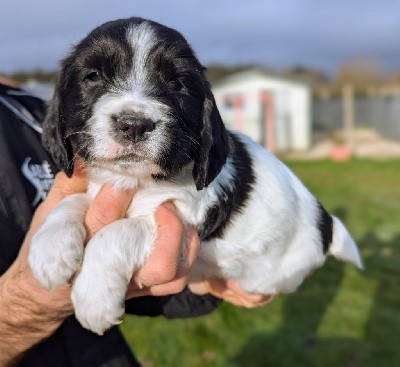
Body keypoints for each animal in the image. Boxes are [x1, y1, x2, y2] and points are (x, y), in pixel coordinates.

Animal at [28, 17, 362, 336]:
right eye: (94, 76)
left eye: (177, 84)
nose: (134, 124)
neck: (138, 180)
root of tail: (327, 223)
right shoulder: (102, 187)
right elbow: (72, 202)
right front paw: (50, 249)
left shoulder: (180, 217)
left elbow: (118, 231)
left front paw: (94, 299)